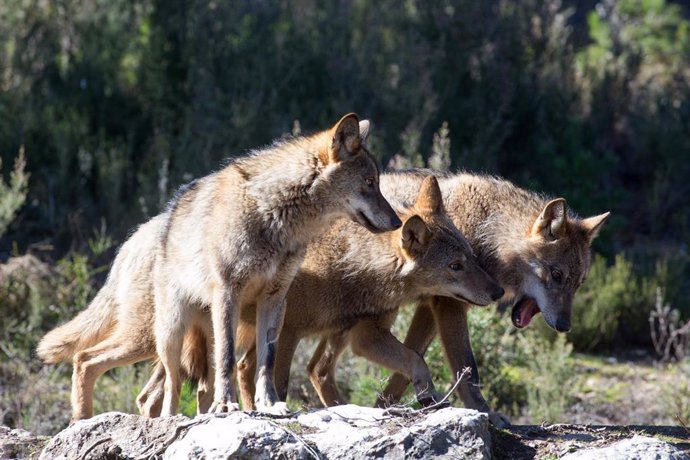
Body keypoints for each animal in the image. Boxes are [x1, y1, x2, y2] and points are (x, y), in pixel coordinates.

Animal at [37, 112, 400, 420]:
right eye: (370, 183)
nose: (398, 222)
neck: (274, 214)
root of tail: (133, 240)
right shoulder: (228, 292)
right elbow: (228, 359)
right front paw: (227, 406)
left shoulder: (275, 299)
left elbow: (266, 361)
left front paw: (269, 405)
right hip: (162, 335)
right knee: (102, 365)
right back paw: (100, 421)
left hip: (188, 335)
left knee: (179, 387)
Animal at [136, 174, 500, 416]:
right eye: (455, 266)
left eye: (471, 258)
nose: (497, 291)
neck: (349, 266)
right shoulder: (291, 333)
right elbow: (281, 384)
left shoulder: (362, 335)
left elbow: (414, 359)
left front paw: (427, 396)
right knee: (164, 389)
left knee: (224, 374)